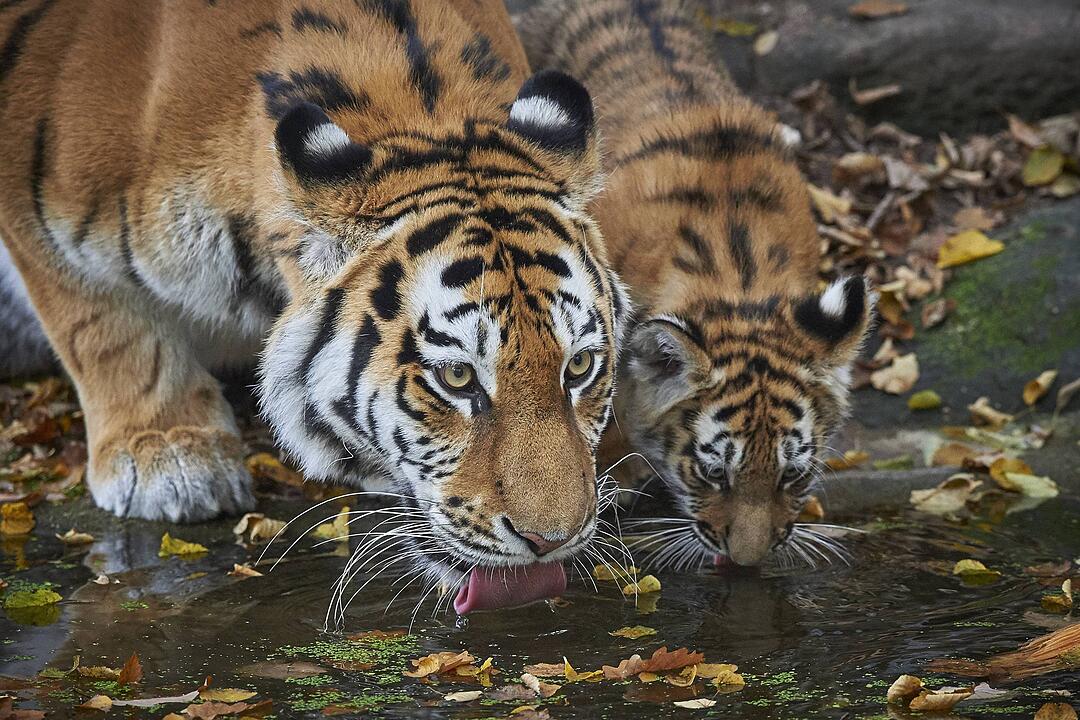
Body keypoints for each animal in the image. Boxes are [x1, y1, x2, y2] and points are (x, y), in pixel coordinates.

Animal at [0, 0, 629, 612]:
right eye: (456, 377)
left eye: (579, 366)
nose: (550, 541)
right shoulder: (36, 213)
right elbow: (105, 329)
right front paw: (166, 456)